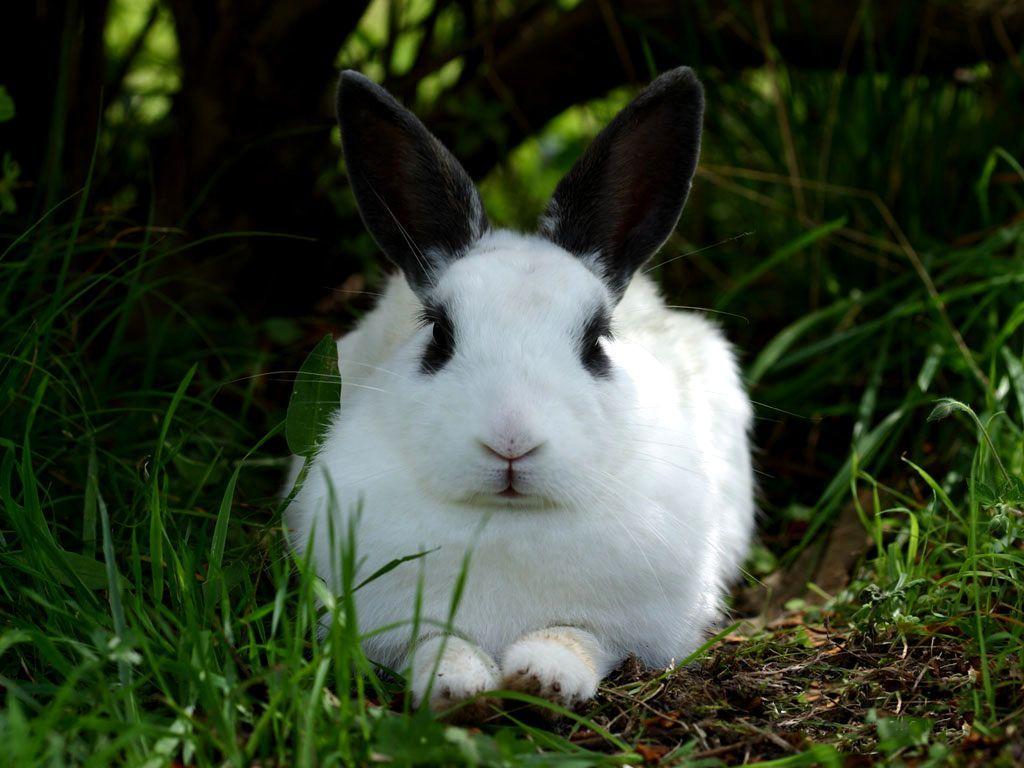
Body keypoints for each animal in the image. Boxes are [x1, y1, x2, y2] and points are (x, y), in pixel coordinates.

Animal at [285, 66, 755, 716]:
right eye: (440, 334)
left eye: (597, 341)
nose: (511, 441)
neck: (507, 521)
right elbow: (434, 642)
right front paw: (457, 685)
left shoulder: (629, 626)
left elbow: (576, 636)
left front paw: (543, 679)